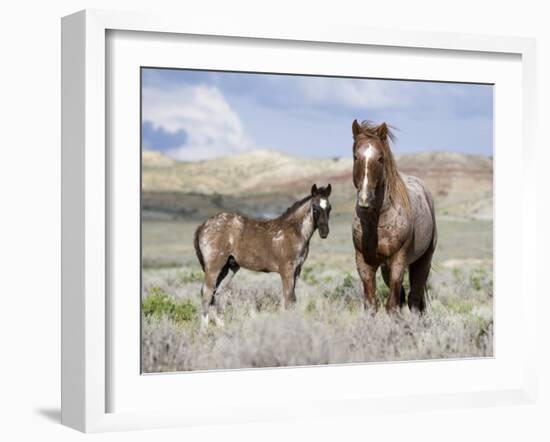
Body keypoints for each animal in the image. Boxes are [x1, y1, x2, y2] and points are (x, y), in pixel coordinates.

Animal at [354, 121, 440, 312]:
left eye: (380, 158)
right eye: (355, 156)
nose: (365, 199)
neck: (377, 222)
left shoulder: (398, 261)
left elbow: (392, 305)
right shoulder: (365, 263)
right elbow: (371, 304)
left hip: (423, 261)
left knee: (414, 299)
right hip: (386, 268)